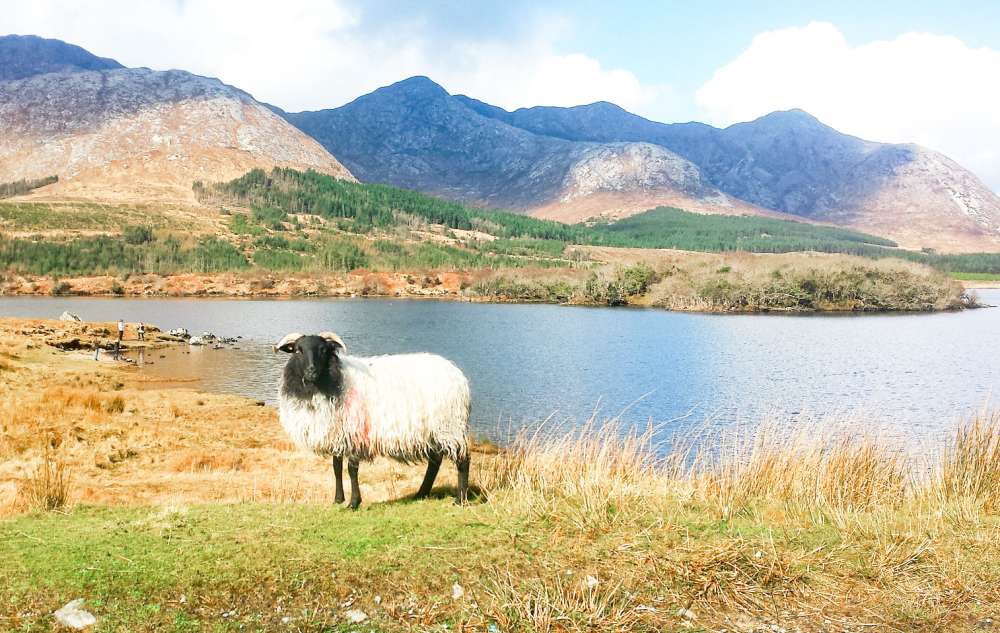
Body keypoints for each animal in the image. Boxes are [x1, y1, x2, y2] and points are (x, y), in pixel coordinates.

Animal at [274, 330, 472, 508]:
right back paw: (421, 493)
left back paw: (460, 500)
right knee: (435, 462)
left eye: (323, 350)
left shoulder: (354, 432)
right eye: (297, 350)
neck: (333, 380)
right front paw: (338, 500)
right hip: (433, 430)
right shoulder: (337, 432)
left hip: (449, 425)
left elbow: (351, 470)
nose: (311, 372)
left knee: (463, 459)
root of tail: (458, 375)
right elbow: (336, 467)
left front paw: (354, 503)